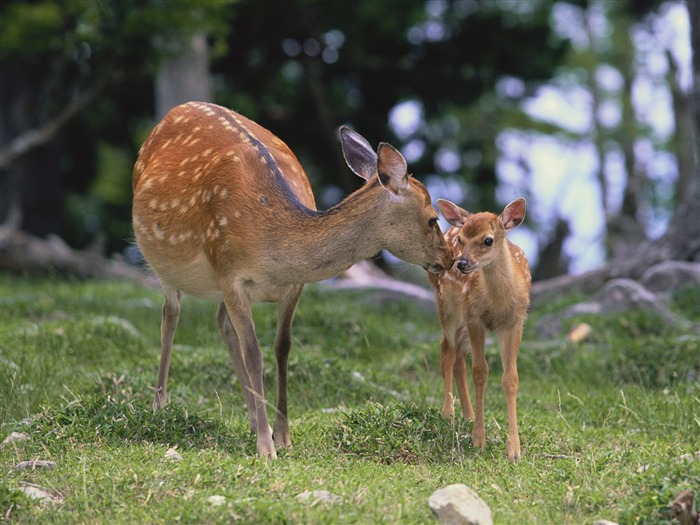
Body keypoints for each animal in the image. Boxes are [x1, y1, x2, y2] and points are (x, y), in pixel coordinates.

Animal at [133, 100, 452, 456]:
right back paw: (160, 406)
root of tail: (176, 110)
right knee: (170, 316)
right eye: (432, 219)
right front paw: (265, 447)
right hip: (163, 262)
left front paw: (282, 436)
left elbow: (282, 346)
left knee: (221, 323)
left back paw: (252, 418)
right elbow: (254, 352)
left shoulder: (294, 285)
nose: (450, 258)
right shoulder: (230, 273)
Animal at [426, 199, 532, 460]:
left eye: (488, 240)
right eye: (461, 239)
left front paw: (514, 450)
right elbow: (480, 372)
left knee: (458, 357)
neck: (498, 302)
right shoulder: (475, 318)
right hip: (448, 306)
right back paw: (448, 413)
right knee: (447, 351)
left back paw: (468, 414)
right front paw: (478, 440)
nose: (461, 263)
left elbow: (510, 378)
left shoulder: (515, 322)